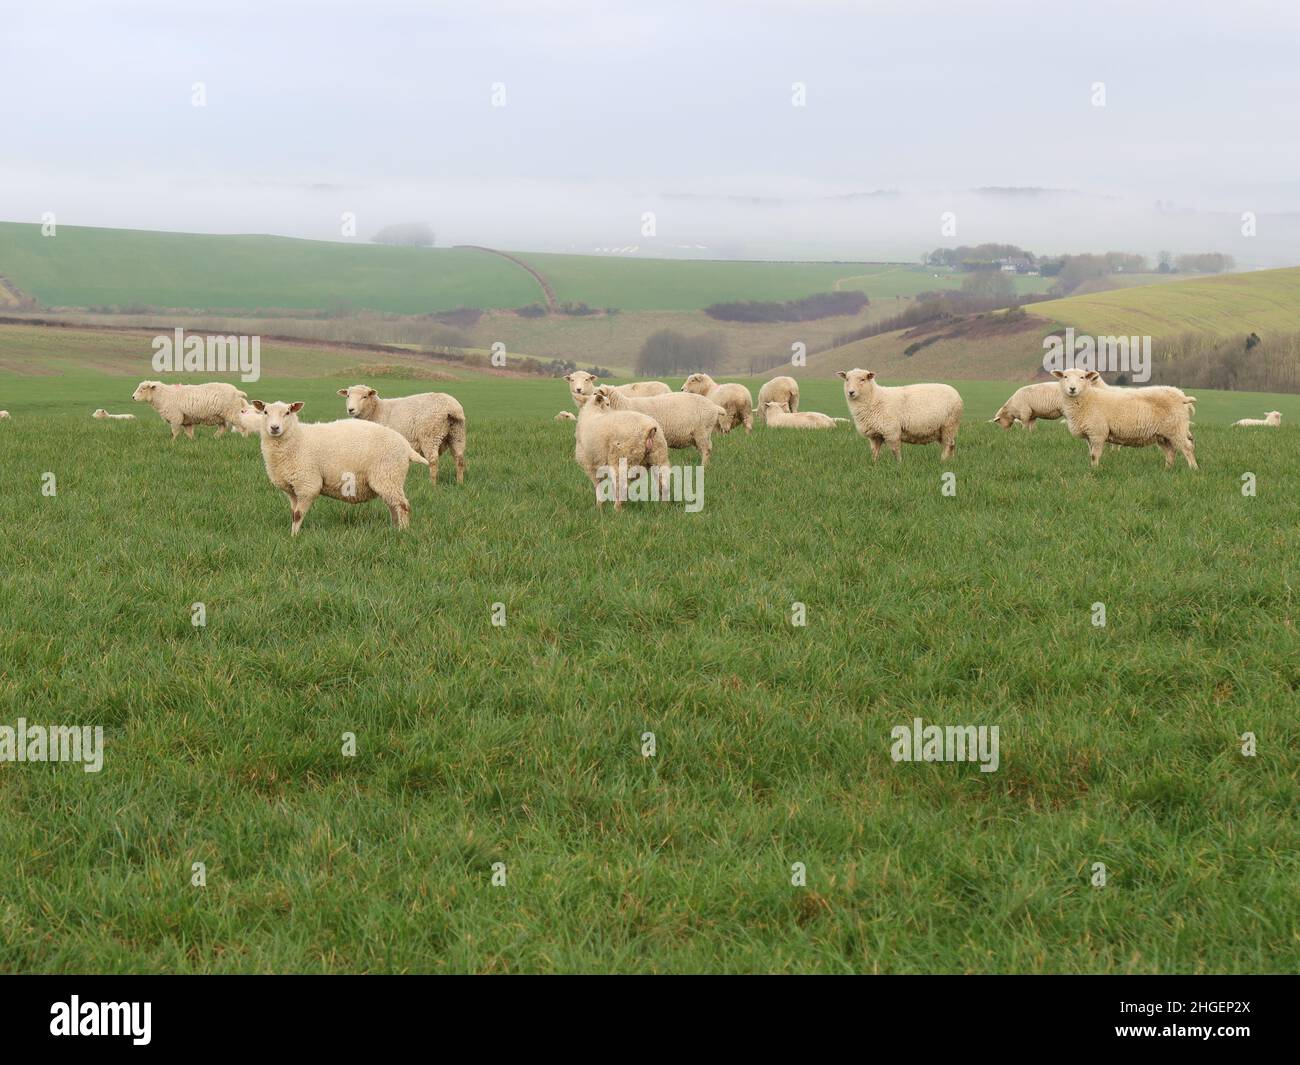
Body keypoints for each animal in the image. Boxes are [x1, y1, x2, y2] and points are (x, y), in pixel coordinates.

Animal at [245, 397, 423, 533]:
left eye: (287, 412)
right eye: (265, 412)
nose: (274, 428)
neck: (298, 439)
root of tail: (406, 446)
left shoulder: (308, 484)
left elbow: (298, 514)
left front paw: (294, 537)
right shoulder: (292, 489)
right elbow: (293, 513)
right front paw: (293, 534)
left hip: (388, 475)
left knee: (403, 505)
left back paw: (403, 531)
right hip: (390, 480)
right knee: (394, 506)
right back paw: (395, 529)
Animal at [335, 384, 467, 486]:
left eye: (364, 396)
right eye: (348, 396)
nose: (351, 409)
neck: (376, 410)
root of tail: (452, 407)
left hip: (430, 435)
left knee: (433, 461)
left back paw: (432, 484)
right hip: (457, 434)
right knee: (459, 459)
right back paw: (459, 483)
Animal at [595, 384, 728, 465]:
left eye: (597, 395)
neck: (623, 407)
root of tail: (714, 406)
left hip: (702, 432)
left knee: (706, 450)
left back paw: (703, 466)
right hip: (699, 435)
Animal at [1045, 369, 1196, 468]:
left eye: (1082, 377)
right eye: (1065, 376)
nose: (1072, 389)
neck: (1088, 399)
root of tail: (1181, 396)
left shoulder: (1098, 433)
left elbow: (1095, 455)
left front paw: (1095, 471)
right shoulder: (1089, 435)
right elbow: (1091, 454)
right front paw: (1092, 468)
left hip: (1176, 428)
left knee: (1187, 448)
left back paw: (1193, 469)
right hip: (1162, 434)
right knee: (1170, 452)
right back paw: (1167, 469)